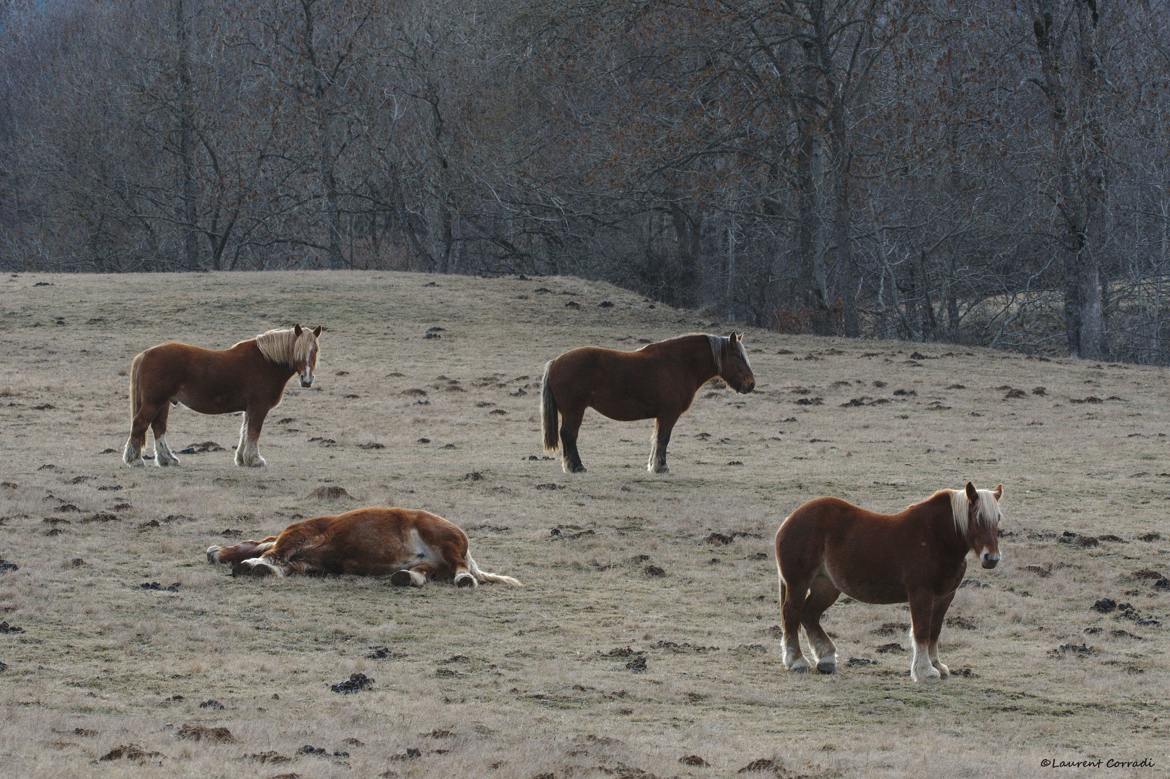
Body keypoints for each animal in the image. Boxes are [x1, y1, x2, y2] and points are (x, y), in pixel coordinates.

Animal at [121, 322, 322, 467]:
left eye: (315, 350)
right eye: (298, 350)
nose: (307, 379)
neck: (266, 361)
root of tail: (145, 354)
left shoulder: (249, 409)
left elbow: (245, 431)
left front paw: (241, 459)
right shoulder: (259, 407)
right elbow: (254, 431)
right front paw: (255, 460)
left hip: (163, 403)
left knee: (158, 427)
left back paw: (167, 459)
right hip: (153, 402)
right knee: (140, 424)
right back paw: (135, 460)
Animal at [205, 502, 521, 582]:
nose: (211, 552)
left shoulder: (298, 534)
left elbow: (273, 553)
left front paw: (251, 563)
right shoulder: (309, 564)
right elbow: (280, 563)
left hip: (442, 538)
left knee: (459, 569)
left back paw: (464, 579)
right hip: (434, 563)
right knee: (425, 572)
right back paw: (407, 577)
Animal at [540, 329, 758, 470]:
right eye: (738, 357)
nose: (751, 384)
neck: (679, 364)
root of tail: (555, 362)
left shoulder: (661, 416)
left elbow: (657, 439)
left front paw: (654, 464)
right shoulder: (669, 414)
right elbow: (663, 439)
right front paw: (660, 467)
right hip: (574, 411)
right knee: (569, 434)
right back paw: (576, 466)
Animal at [776, 479, 1006, 678]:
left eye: (998, 518)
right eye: (977, 517)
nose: (991, 558)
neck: (936, 538)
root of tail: (789, 520)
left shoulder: (945, 596)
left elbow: (935, 630)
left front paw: (937, 665)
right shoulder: (921, 593)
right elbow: (922, 630)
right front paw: (924, 671)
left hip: (826, 587)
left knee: (809, 615)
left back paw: (826, 659)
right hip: (798, 583)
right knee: (792, 613)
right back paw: (797, 661)